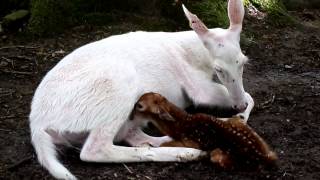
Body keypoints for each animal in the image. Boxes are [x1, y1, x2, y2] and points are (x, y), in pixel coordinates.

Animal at [30, 0, 254, 179]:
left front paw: (239, 115)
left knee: (133, 136)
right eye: (219, 69)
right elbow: (247, 95)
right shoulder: (196, 86)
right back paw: (190, 152)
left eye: (244, 61)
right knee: (95, 149)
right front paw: (239, 116)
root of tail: (37, 124)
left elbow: (249, 96)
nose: (238, 105)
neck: (196, 54)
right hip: (118, 86)